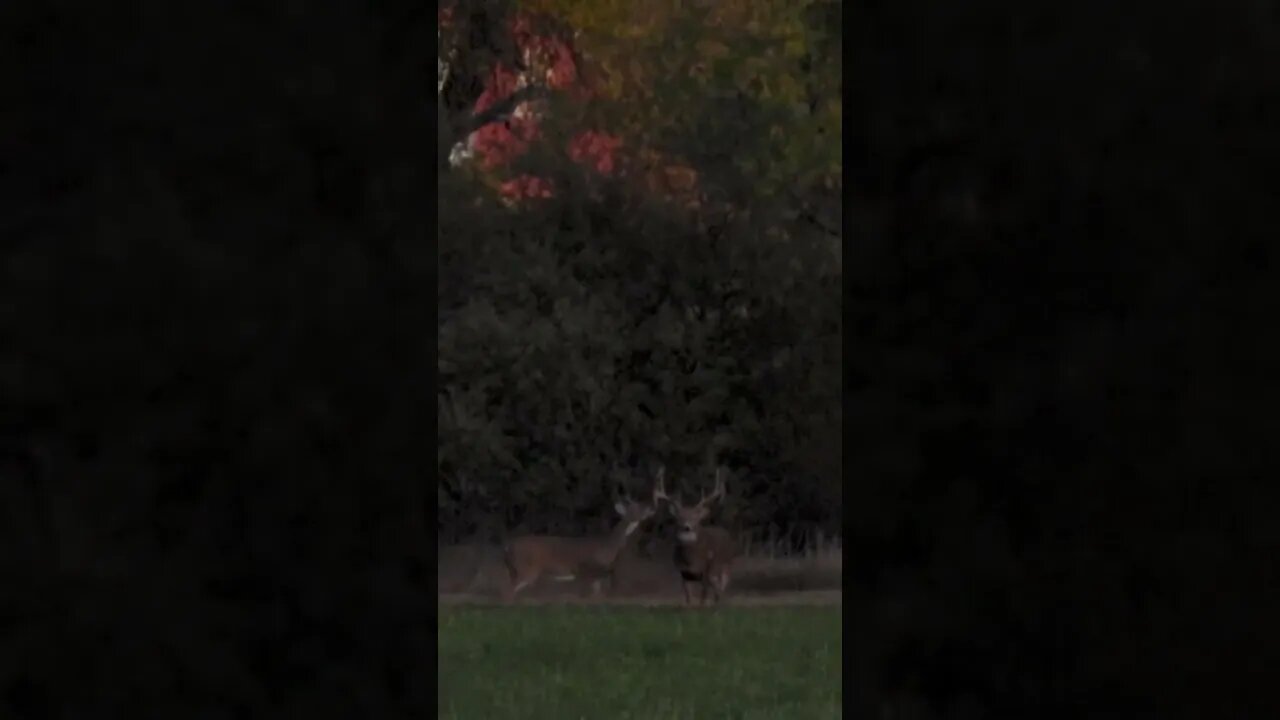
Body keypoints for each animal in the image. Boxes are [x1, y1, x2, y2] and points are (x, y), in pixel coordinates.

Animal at [499, 481, 660, 599]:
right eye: (635, 508)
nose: (651, 510)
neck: (609, 545)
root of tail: (508, 546)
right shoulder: (590, 568)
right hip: (527, 567)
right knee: (509, 591)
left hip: (514, 570)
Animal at [650, 468, 742, 602]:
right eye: (679, 518)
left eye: (695, 519)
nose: (687, 527)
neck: (692, 561)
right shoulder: (683, 573)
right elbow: (689, 598)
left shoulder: (706, 571)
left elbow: (703, 598)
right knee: (717, 591)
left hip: (726, 565)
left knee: (721, 588)